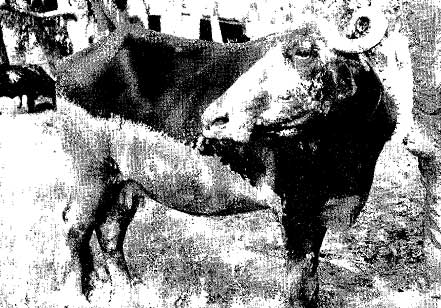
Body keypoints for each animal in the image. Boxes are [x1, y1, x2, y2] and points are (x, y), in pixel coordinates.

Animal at [50, 8, 392, 306]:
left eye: (304, 52)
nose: (215, 117)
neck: (346, 149)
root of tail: (66, 67)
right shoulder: (295, 210)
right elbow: (298, 284)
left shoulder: (320, 213)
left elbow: (311, 280)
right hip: (90, 175)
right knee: (75, 225)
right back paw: (75, 294)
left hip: (126, 184)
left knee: (110, 229)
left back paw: (129, 289)